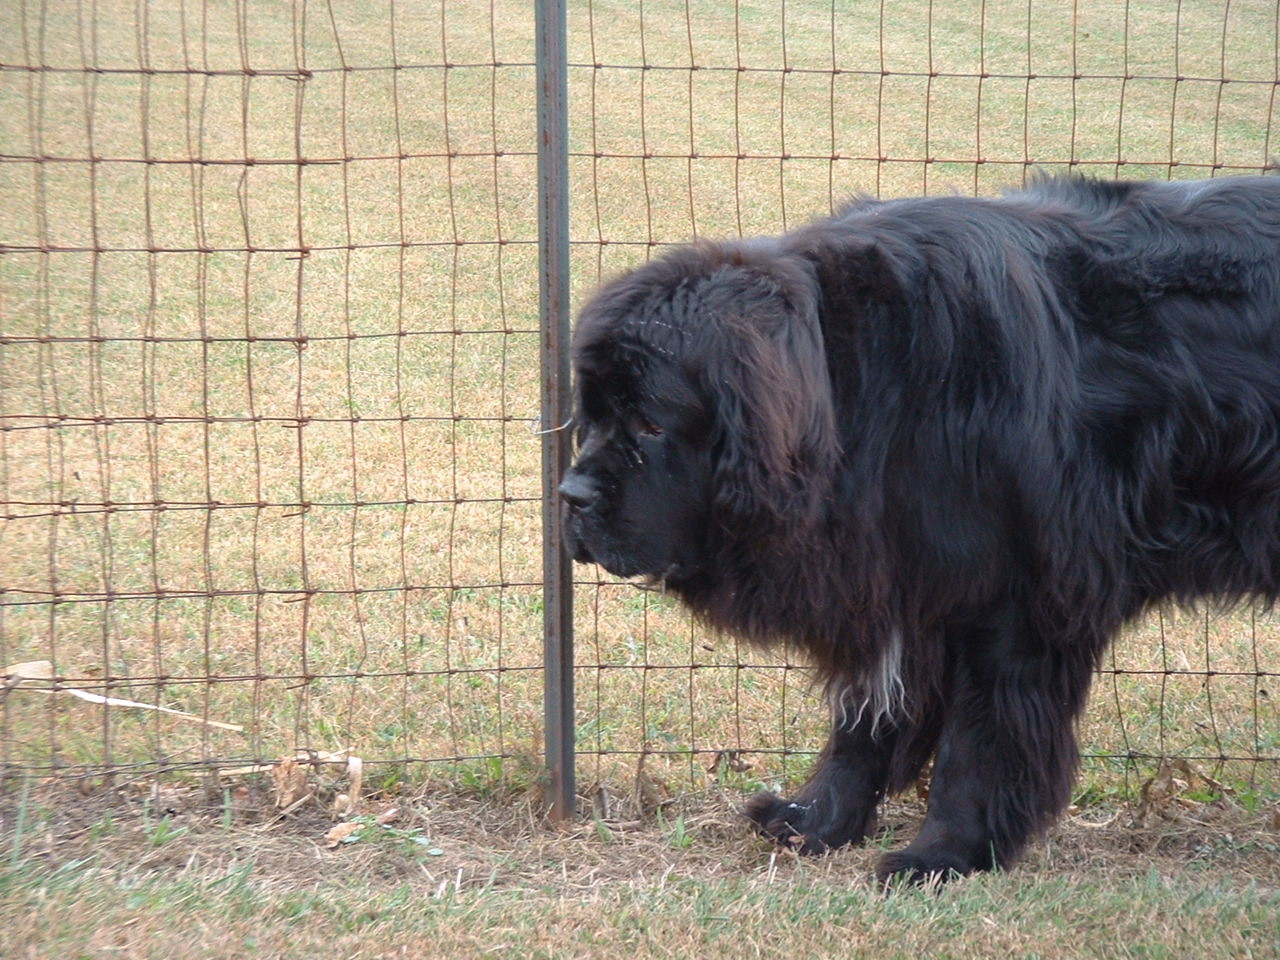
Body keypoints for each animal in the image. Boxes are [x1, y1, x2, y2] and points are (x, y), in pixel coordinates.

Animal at [560, 175, 1280, 885]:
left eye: (651, 423)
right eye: (593, 415)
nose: (571, 496)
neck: (865, 386)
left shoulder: (1010, 599)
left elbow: (978, 742)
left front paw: (943, 853)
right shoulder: (893, 567)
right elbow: (866, 720)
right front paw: (816, 820)